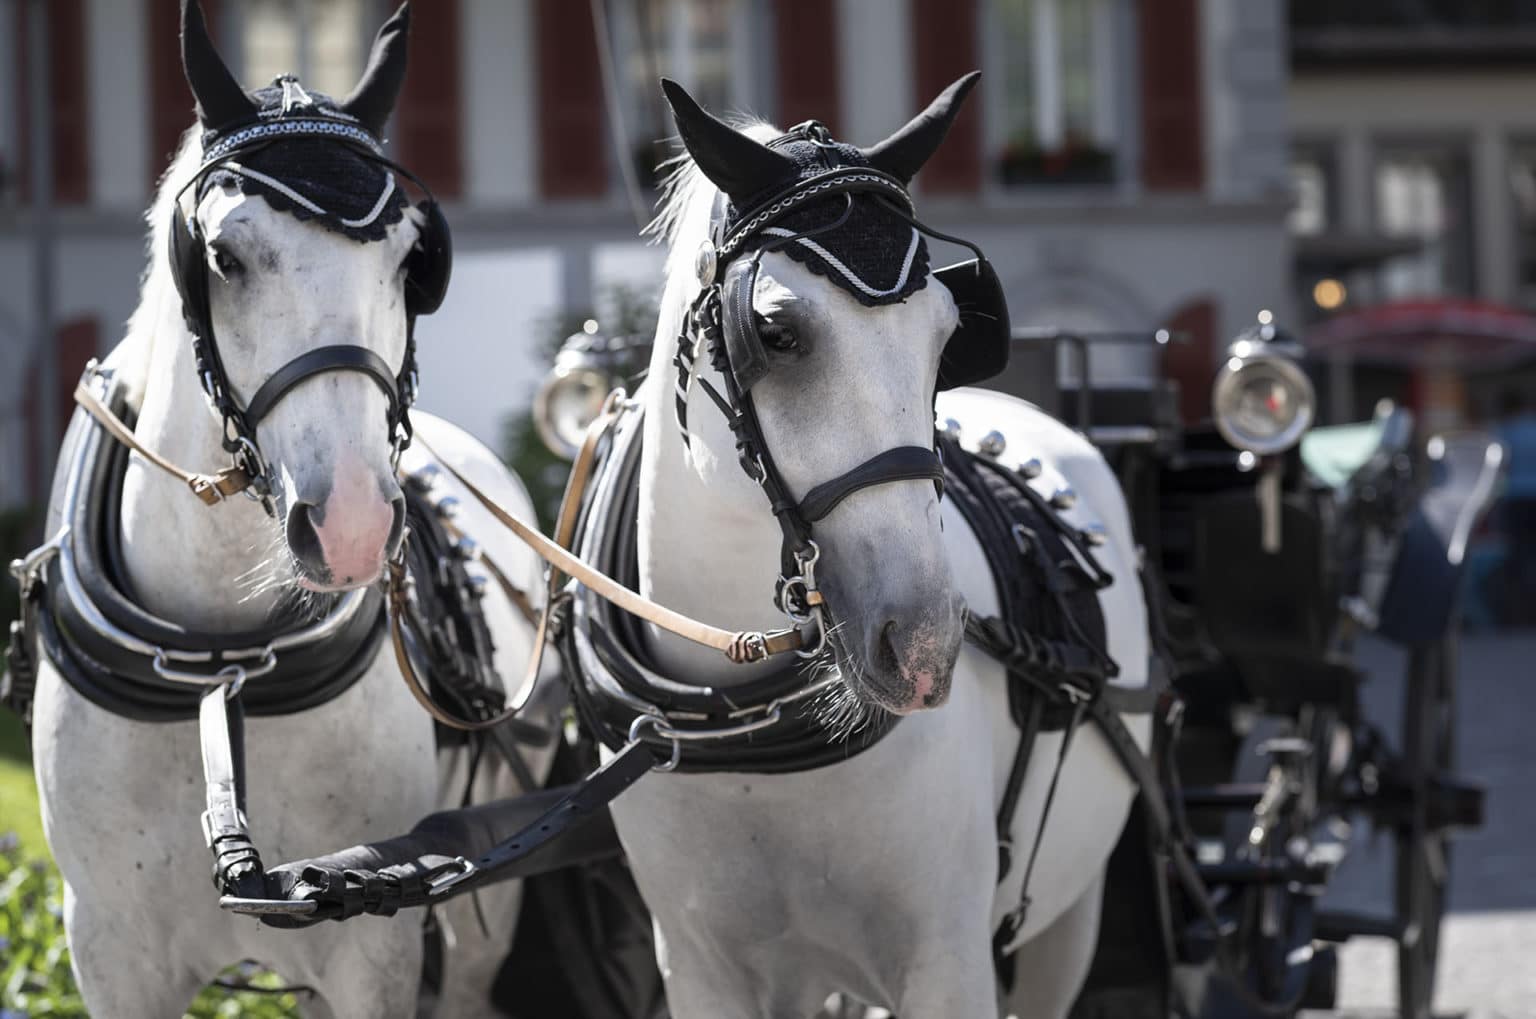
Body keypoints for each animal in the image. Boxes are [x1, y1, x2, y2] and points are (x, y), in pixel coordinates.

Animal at [22, 5, 549, 1016]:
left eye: (412, 261)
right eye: (224, 256)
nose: (351, 524)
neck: (219, 667)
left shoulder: (375, 938)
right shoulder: (107, 948)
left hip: (479, 926)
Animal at [568, 77, 1155, 1018]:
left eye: (950, 335)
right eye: (775, 333)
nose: (921, 644)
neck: (742, 711)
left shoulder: (947, 961)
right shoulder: (702, 968)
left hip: (1071, 915)